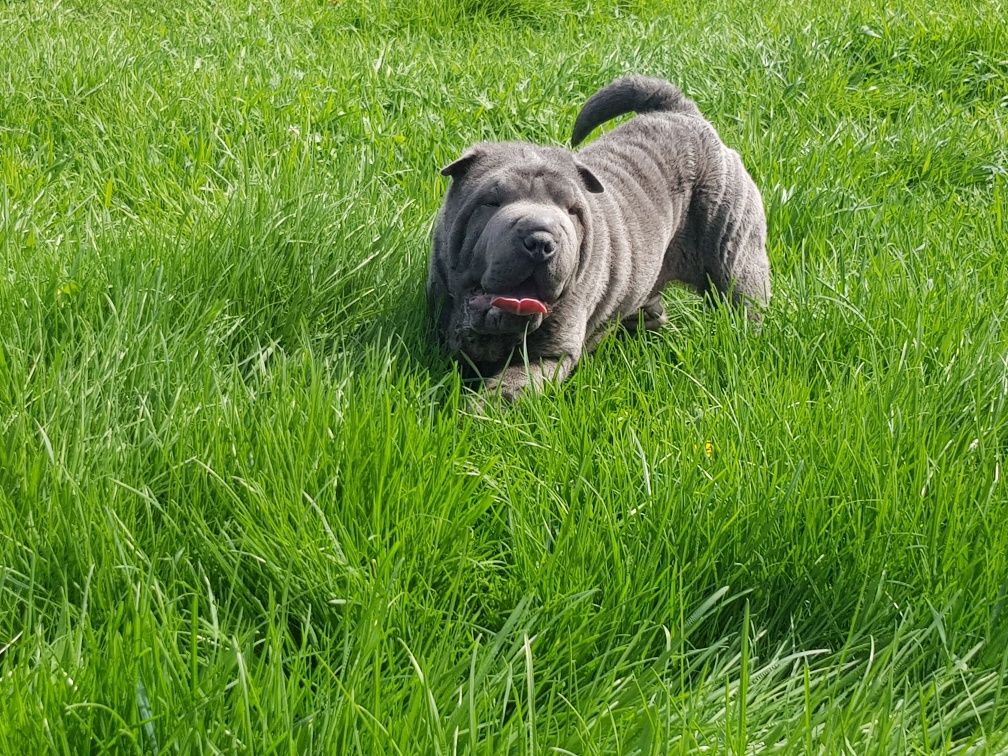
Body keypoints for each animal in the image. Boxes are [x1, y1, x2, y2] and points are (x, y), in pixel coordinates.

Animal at [427, 74, 770, 399]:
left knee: (745, 299)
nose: (541, 241)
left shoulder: (551, 356)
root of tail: (683, 113)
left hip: (734, 255)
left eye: (572, 211)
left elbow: (509, 388)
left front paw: (481, 411)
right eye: (491, 202)